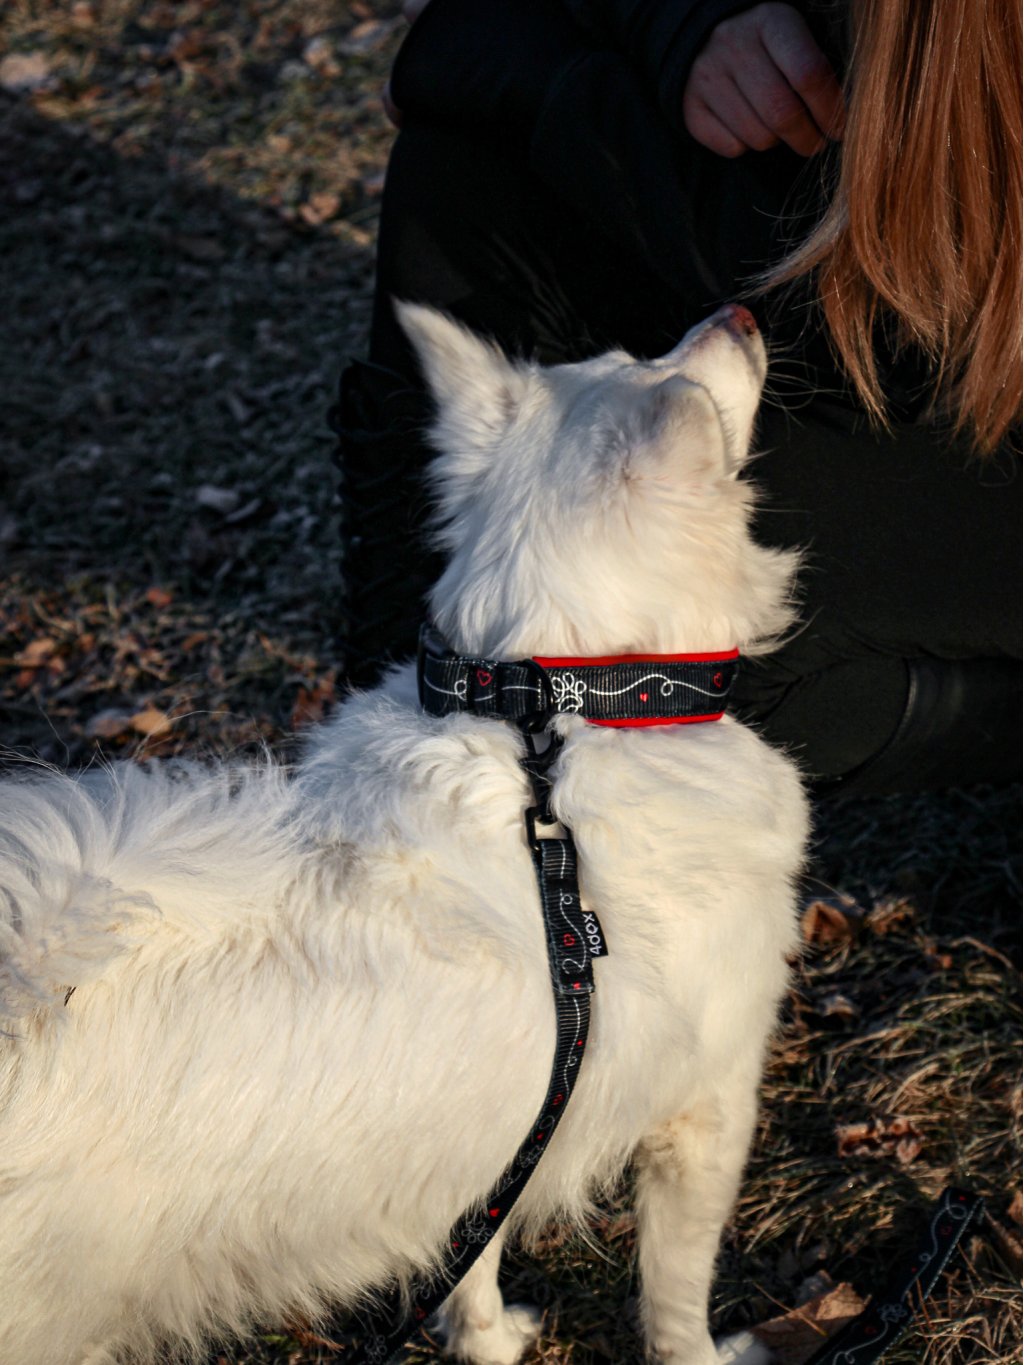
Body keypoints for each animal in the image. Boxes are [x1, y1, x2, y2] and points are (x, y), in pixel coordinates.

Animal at [0, 307, 808, 1365]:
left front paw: (486, 1340)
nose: (741, 313)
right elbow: (676, 1296)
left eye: (631, 351)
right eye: (679, 370)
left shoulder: (499, 1129)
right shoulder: (707, 1107)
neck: (556, 698)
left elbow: (472, 1255)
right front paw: (706, 1356)